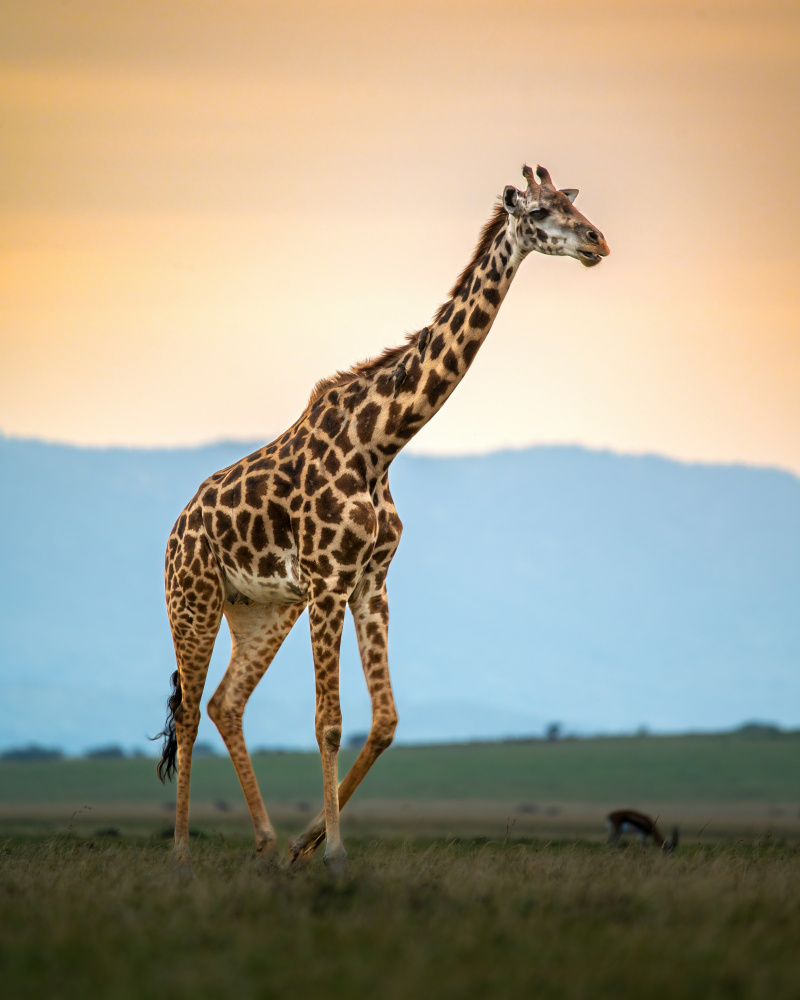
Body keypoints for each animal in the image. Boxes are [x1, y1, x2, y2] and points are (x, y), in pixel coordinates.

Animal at [158, 164, 610, 874]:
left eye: (572, 204)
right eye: (540, 211)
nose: (597, 242)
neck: (381, 444)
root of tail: (175, 530)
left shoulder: (372, 581)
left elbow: (387, 720)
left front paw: (304, 845)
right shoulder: (328, 581)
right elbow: (328, 721)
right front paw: (336, 852)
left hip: (262, 609)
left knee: (225, 702)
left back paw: (264, 845)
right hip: (194, 599)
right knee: (189, 714)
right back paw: (179, 850)